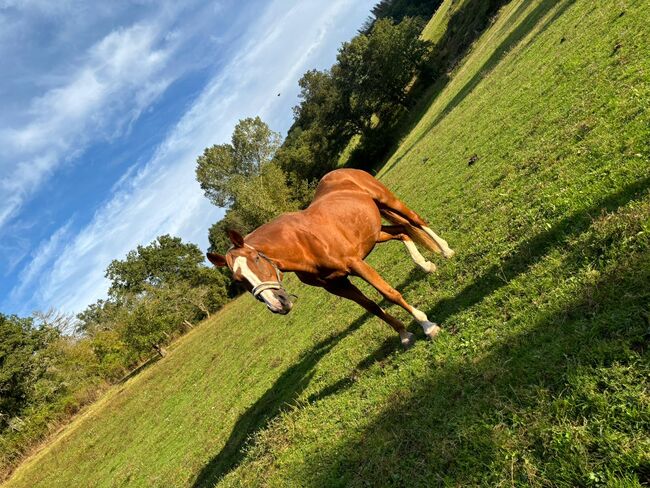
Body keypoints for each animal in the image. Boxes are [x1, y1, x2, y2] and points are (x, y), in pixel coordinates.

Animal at [206, 168, 450, 346]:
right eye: (239, 280)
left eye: (256, 259)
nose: (277, 304)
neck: (302, 243)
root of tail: (343, 171)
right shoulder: (337, 285)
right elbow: (372, 307)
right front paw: (404, 335)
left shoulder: (356, 265)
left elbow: (389, 294)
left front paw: (428, 326)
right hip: (374, 233)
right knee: (401, 231)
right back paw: (426, 266)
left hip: (388, 201)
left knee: (416, 221)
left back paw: (446, 251)